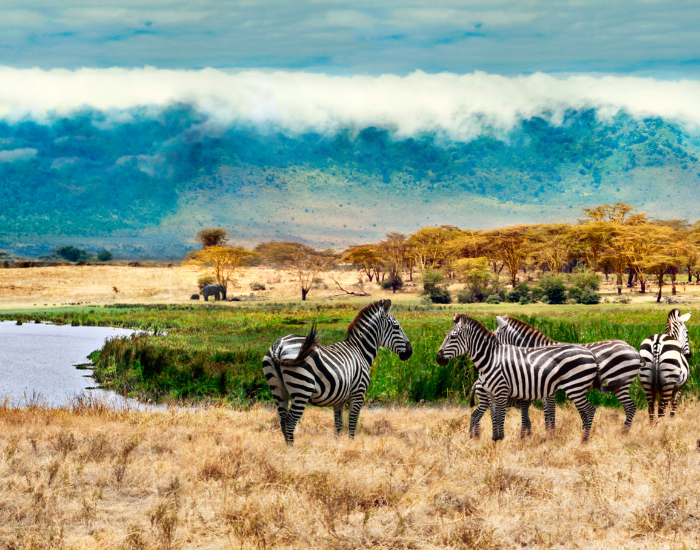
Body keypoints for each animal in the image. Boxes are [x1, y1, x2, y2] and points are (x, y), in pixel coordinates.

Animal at [262, 299, 413, 445]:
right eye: (396, 327)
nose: (410, 352)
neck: (360, 351)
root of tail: (279, 345)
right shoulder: (358, 393)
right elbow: (352, 422)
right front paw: (351, 445)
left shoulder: (339, 398)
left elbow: (338, 424)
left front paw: (337, 445)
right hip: (302, 389)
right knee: (290, 422)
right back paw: (293, 450)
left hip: (278, 389)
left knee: (282, 421)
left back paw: (287, 449)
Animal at [436, 313, 599, 441]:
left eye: (453, 337)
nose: (438, 358)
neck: (491, 359)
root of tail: (590, 354)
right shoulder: (491, 393)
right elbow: (495, 417)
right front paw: (495, 440)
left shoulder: (502, 391)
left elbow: (502, 417)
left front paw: (501, 440)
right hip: (577, 388)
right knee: (585, 411)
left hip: (575, 387)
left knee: (590, 410)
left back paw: (584, 439)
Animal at [493, 314, 642, 430]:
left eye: (496, 334)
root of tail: (632, 348)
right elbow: (547, 412)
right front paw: (549, 432)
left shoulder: (548, 388)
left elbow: (550, 412)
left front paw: (551, 433)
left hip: (619, 381)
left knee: (630, 407)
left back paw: (624, 431)